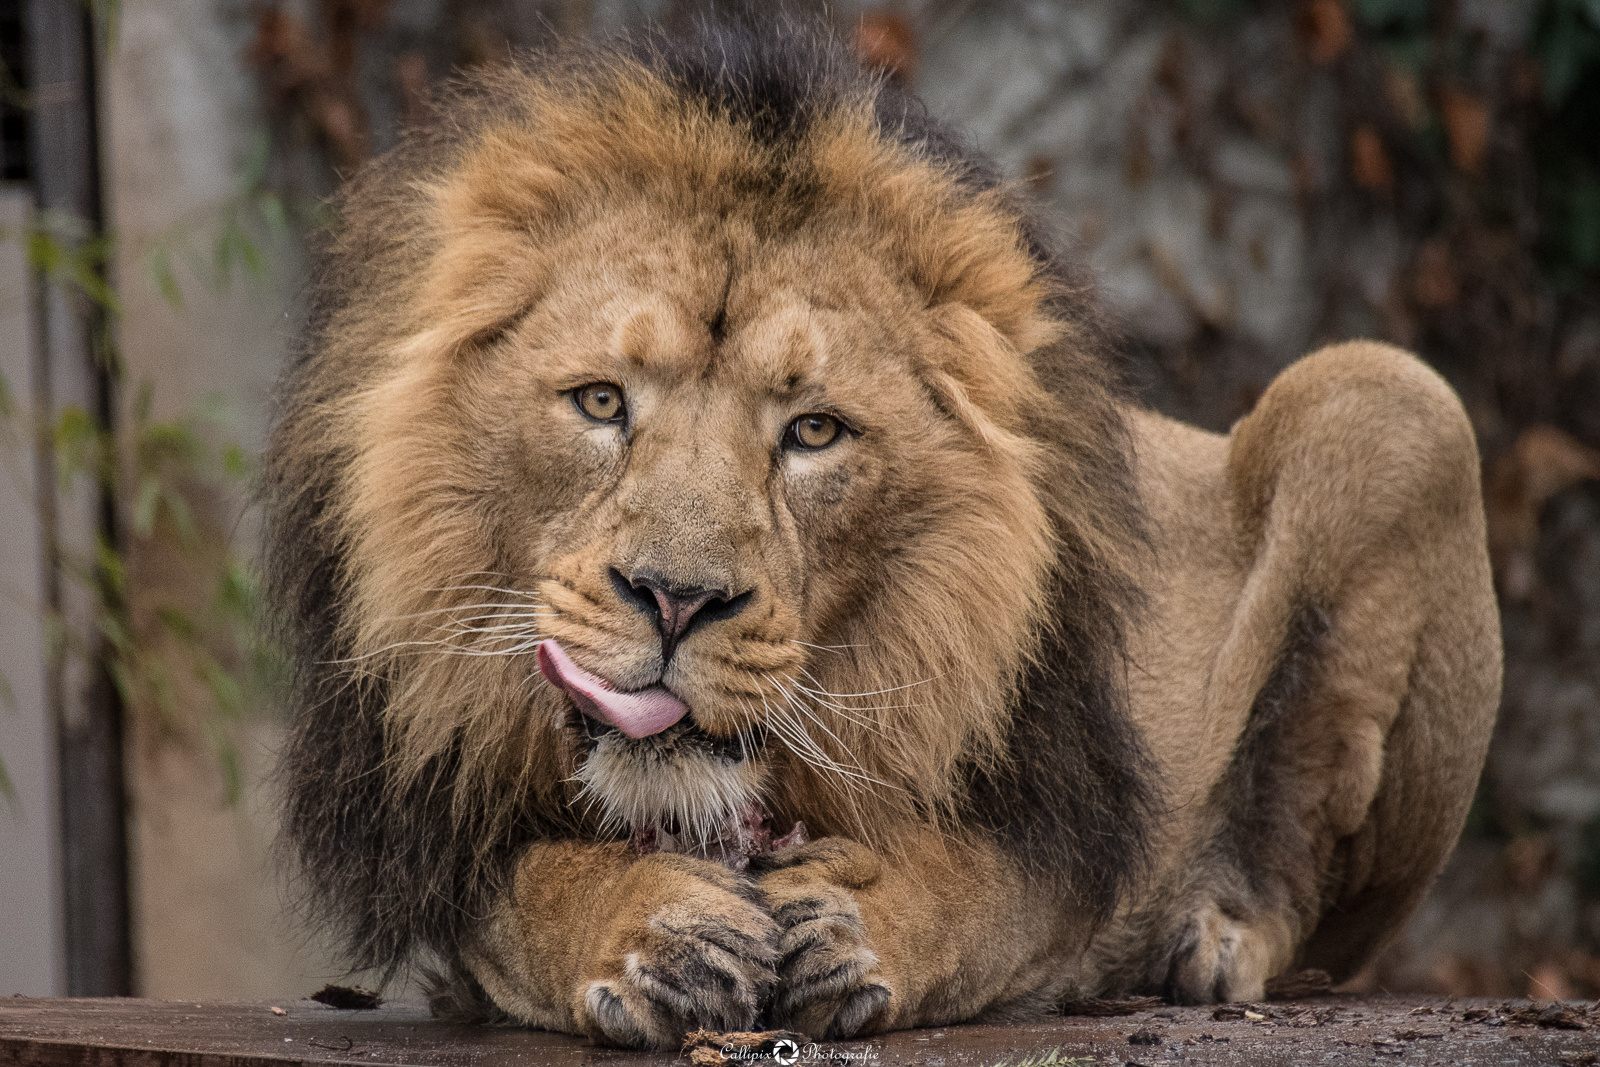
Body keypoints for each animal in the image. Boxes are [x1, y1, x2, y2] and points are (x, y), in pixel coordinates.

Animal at [262, 16, 1497, 1049]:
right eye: (602, 401)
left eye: (813, 431)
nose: (674, 599)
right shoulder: (434, 831)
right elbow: (526, 894)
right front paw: (650, 928)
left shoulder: (1059, 837)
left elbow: (970, 889)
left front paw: (859, 918)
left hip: (1391, 399)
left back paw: (1212, 936)